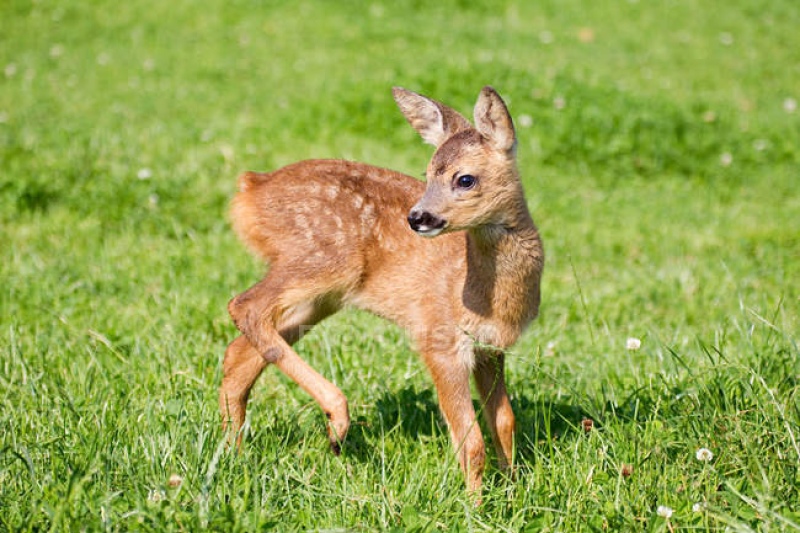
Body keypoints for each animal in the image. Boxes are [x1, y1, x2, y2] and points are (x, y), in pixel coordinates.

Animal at [222, 86, 540, 490]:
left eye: (465, 179)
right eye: (427, 173)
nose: (416, 218)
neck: (488, 295)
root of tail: (248, 189)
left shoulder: (490, 348)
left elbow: (504, 422)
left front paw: (514, 489)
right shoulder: (438, 337)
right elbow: (471, 442)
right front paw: (476, 503)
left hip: (324, 295)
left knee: (238, 352)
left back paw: (234, 455)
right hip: (323, 259)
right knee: (243, 305)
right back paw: (337, 419)